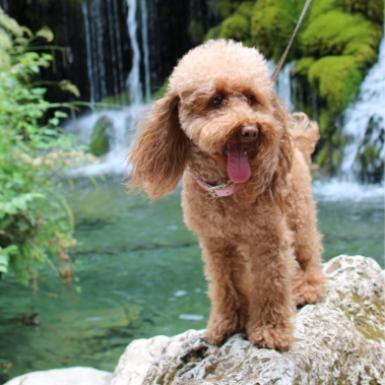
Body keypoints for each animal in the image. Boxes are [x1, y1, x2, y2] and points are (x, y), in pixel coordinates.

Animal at [128, 40, 324, 350]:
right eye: (216, 100)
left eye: (251, 98)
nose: (250, 130)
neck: (225, 190)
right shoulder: (217, 243)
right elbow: (225, 284)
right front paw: (228, 324)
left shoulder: (269, 239)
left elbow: (270, 283)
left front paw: (271, 331)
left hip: (297, 212)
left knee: (308, 249)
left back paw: (309, 287)